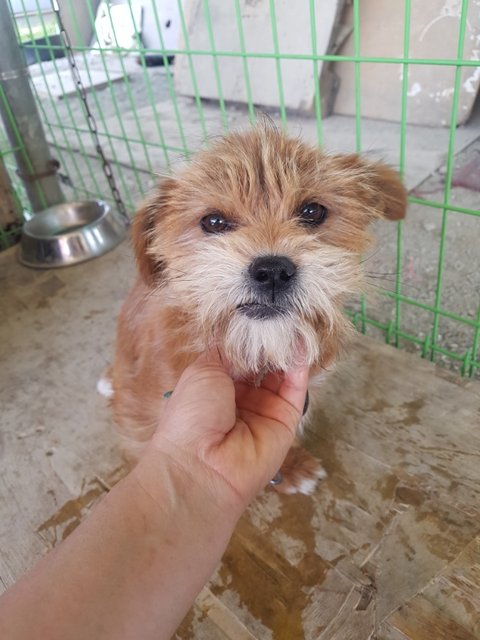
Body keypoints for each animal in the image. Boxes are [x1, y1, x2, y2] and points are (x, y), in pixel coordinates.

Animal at [101, 124, 407, 494]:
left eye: (312, 212)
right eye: (213, 221)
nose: (272, 271)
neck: (256, 350)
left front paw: (291, 463)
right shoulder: (144, 419)